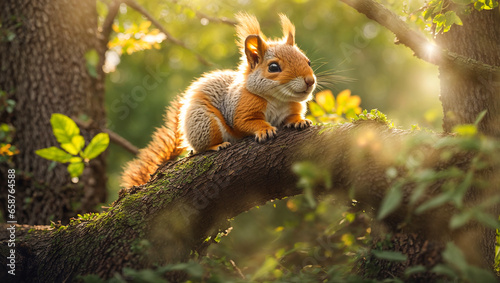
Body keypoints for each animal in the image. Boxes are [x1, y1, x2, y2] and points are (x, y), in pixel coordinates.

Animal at [120, 12, 314, 189]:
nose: (310, 81)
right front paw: (264, 130)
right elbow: (246, 122)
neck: (279, 99)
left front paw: (300, 121)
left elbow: (291, 117)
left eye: (308, 61)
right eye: (274, 67)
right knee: (200, 149)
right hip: (206, 123)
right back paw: (216, 146)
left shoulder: (290, 108)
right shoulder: (240, 107)